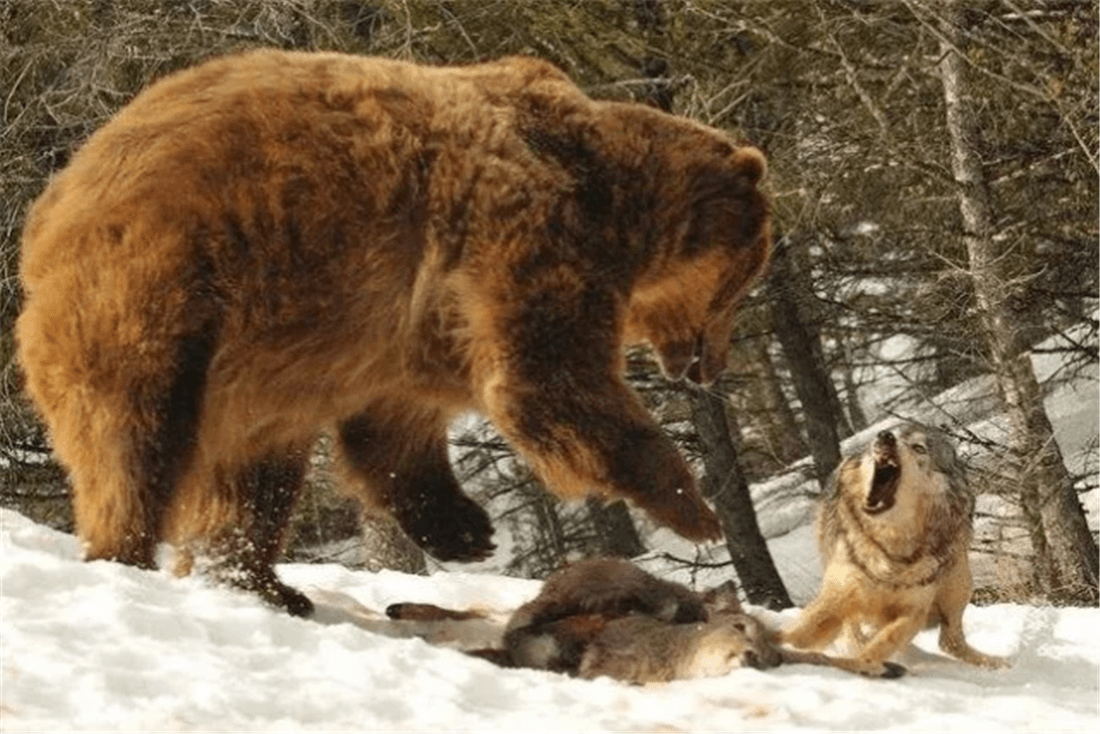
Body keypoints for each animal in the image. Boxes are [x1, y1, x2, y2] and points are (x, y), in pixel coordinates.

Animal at [19, 48, 774, 616]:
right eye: (744, 280)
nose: (709, 366)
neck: (616, 202)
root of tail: (48, 210)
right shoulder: (528, 236)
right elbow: (549, 380)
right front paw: (695, 507)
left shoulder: (404, 326)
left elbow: (394, 427)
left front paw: (465, 530)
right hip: (161, 290)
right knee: (135, 438)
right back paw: (127, 554)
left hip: (253, 360)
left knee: (252, 475)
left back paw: (262, 582)